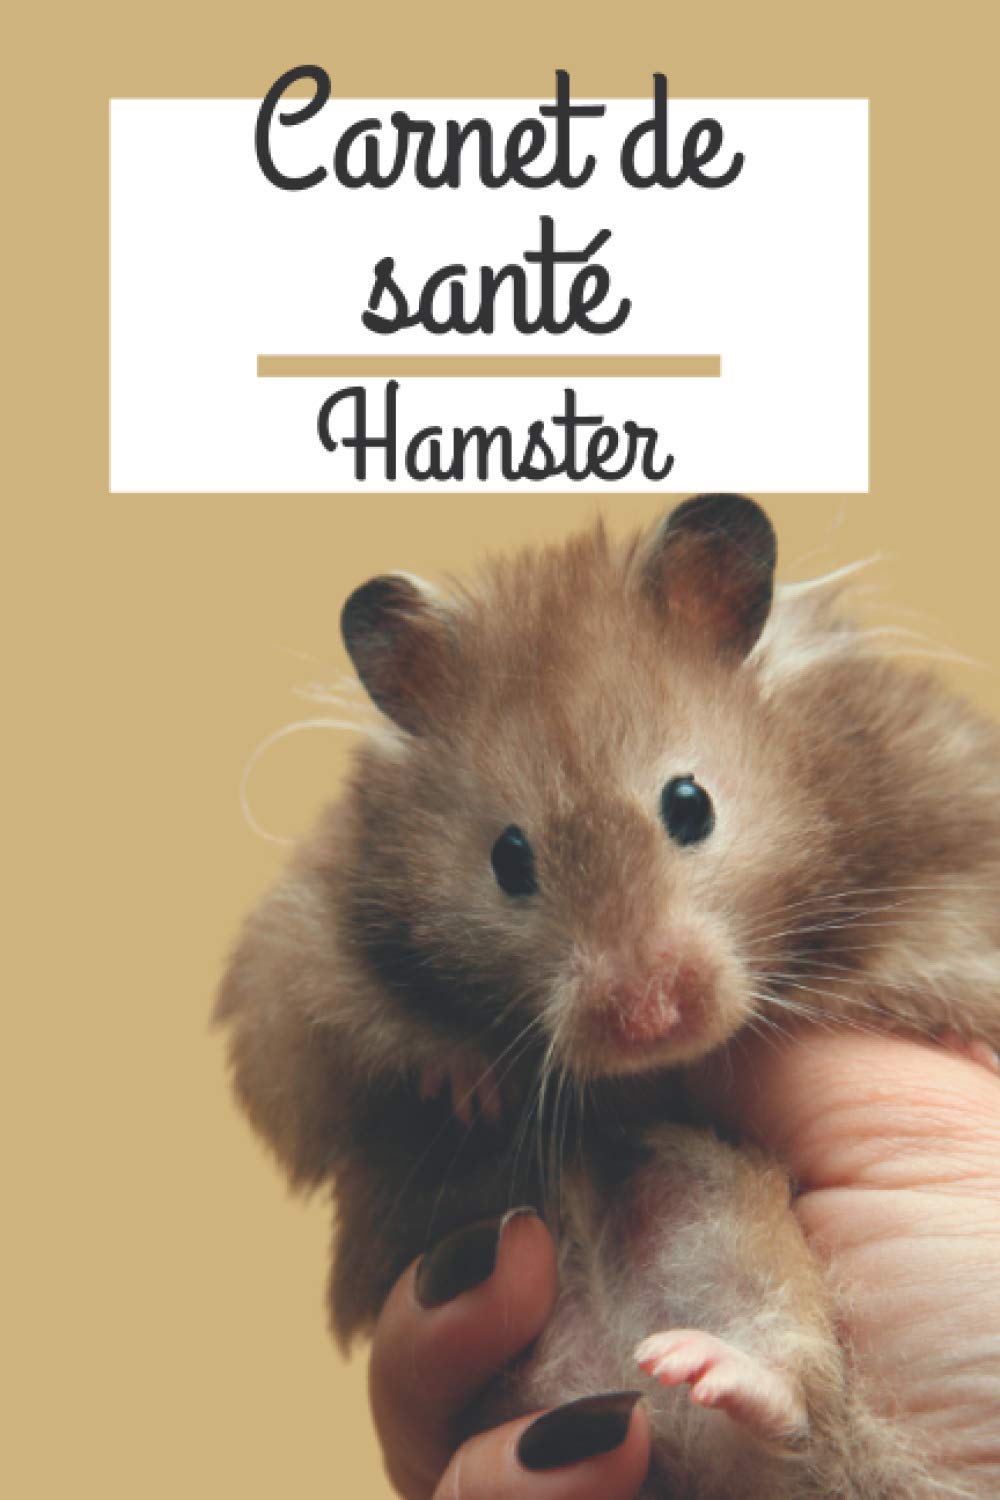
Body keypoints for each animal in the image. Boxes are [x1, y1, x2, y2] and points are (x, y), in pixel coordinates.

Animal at [215, 495, 1000, 1499]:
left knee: (786, 1385)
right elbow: (344, 1038)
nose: (647, 1018)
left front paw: (963, 1044)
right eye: (509, 859)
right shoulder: (299, 961)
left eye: (691, 802)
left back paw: (718, 1372)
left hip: (716, 1210)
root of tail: (633, 1394)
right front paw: (468, 1084)